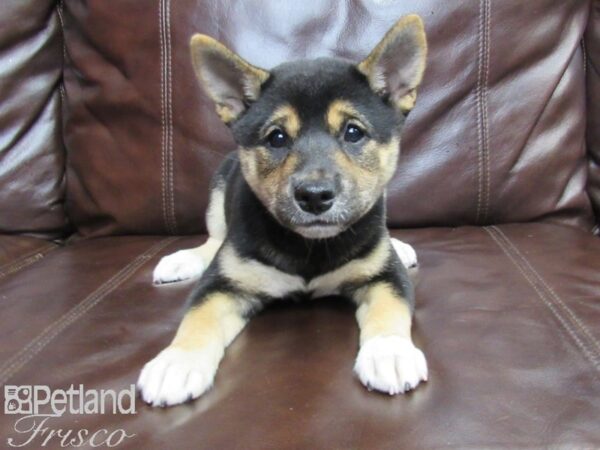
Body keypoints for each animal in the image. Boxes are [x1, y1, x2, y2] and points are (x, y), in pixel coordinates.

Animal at [137, 14, 426, 408]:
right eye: (276, 137)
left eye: (353, 132)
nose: (315, 196)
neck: (309, 247)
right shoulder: (223, 284)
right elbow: (198, 316)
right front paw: (177, 362)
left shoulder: (384, 276)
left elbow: (390, 310)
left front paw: (390, 353)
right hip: (218, 187)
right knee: (213, 240)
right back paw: (183, 259)